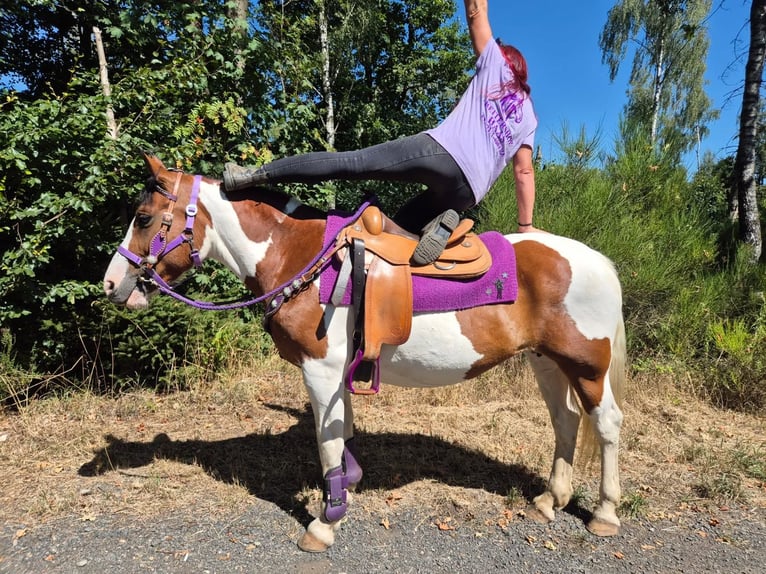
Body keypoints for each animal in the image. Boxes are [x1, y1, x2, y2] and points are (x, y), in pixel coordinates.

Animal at [103, 153, 626, 552]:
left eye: (144, 217)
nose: (111, 284)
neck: (300, 254)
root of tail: (601, 261)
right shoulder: (335, 374)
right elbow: (342, 433)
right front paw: (349, 485)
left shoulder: (320, 369)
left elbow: (327, 442)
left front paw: (325, 521)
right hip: (547, 361)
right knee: (565, 421)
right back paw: (549, 500)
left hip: (586, 366)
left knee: (605, 423)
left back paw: (604, 512)